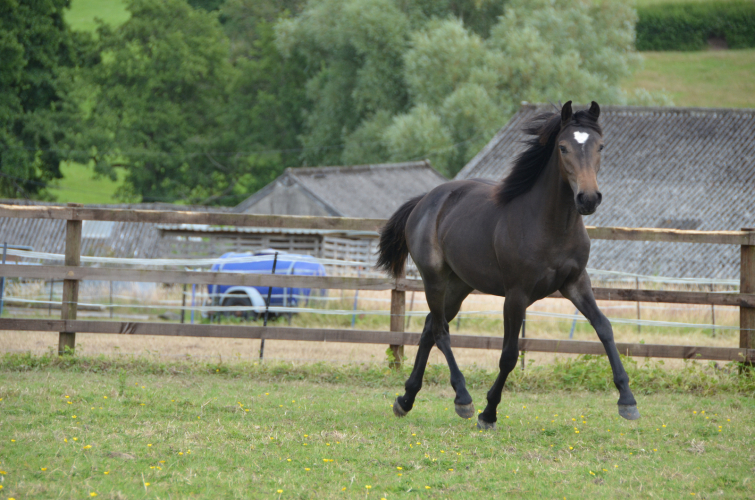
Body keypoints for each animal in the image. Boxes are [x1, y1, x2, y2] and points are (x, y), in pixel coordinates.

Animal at [376, 101, 639, 430]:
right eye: (563, 147)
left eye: (600, 146)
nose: (588, 198)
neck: (551, 226)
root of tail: (425, 200)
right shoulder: (516, 295)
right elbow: (509, 354)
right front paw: (488, 413)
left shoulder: (576, 283)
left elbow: (604, 328)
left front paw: (627, 400)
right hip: (434, 279)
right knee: (440, 331)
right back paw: (462, 399)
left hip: (459, 285)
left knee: (428, 328)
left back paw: (406, 400)